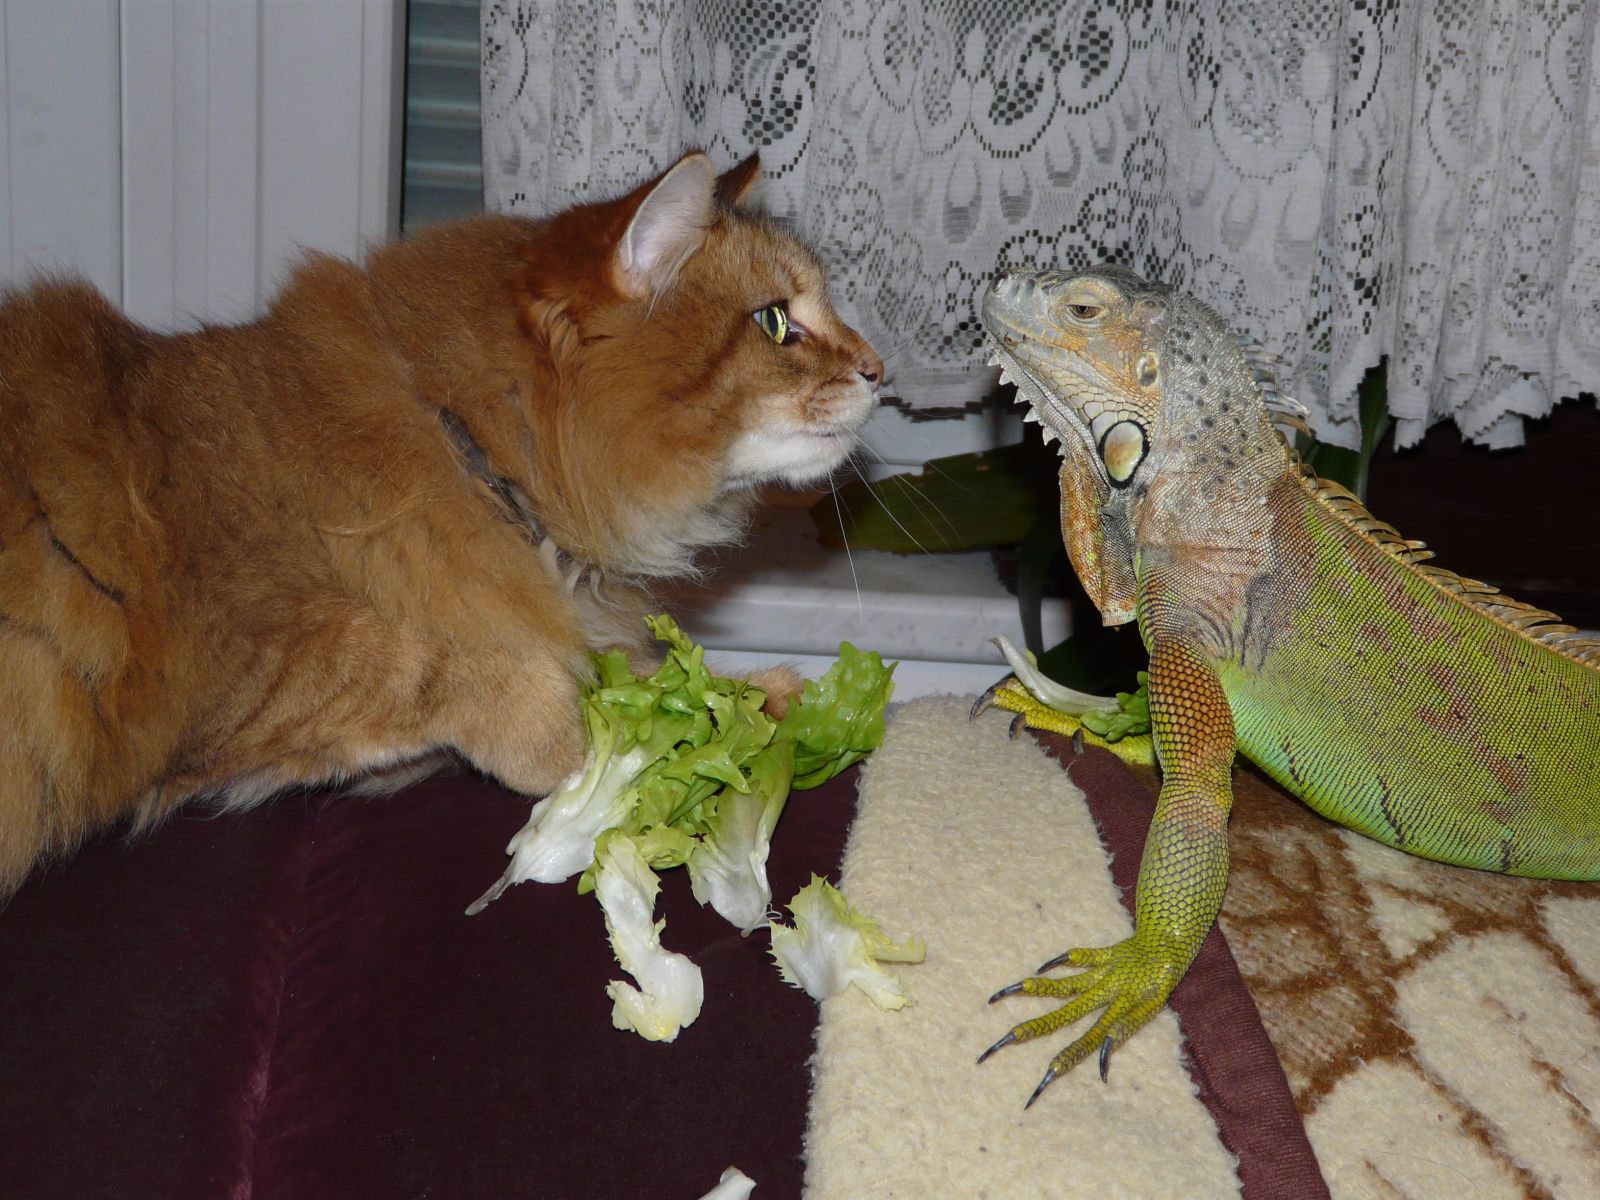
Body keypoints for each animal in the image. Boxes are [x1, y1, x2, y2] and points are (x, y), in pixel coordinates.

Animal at [0, 151, 882, 897]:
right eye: (776, 323)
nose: (880, 373)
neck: (466, 446)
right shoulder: (229, 649)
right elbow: (433, 661)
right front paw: (589, 741)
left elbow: (645, 671)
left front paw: (764, 703)